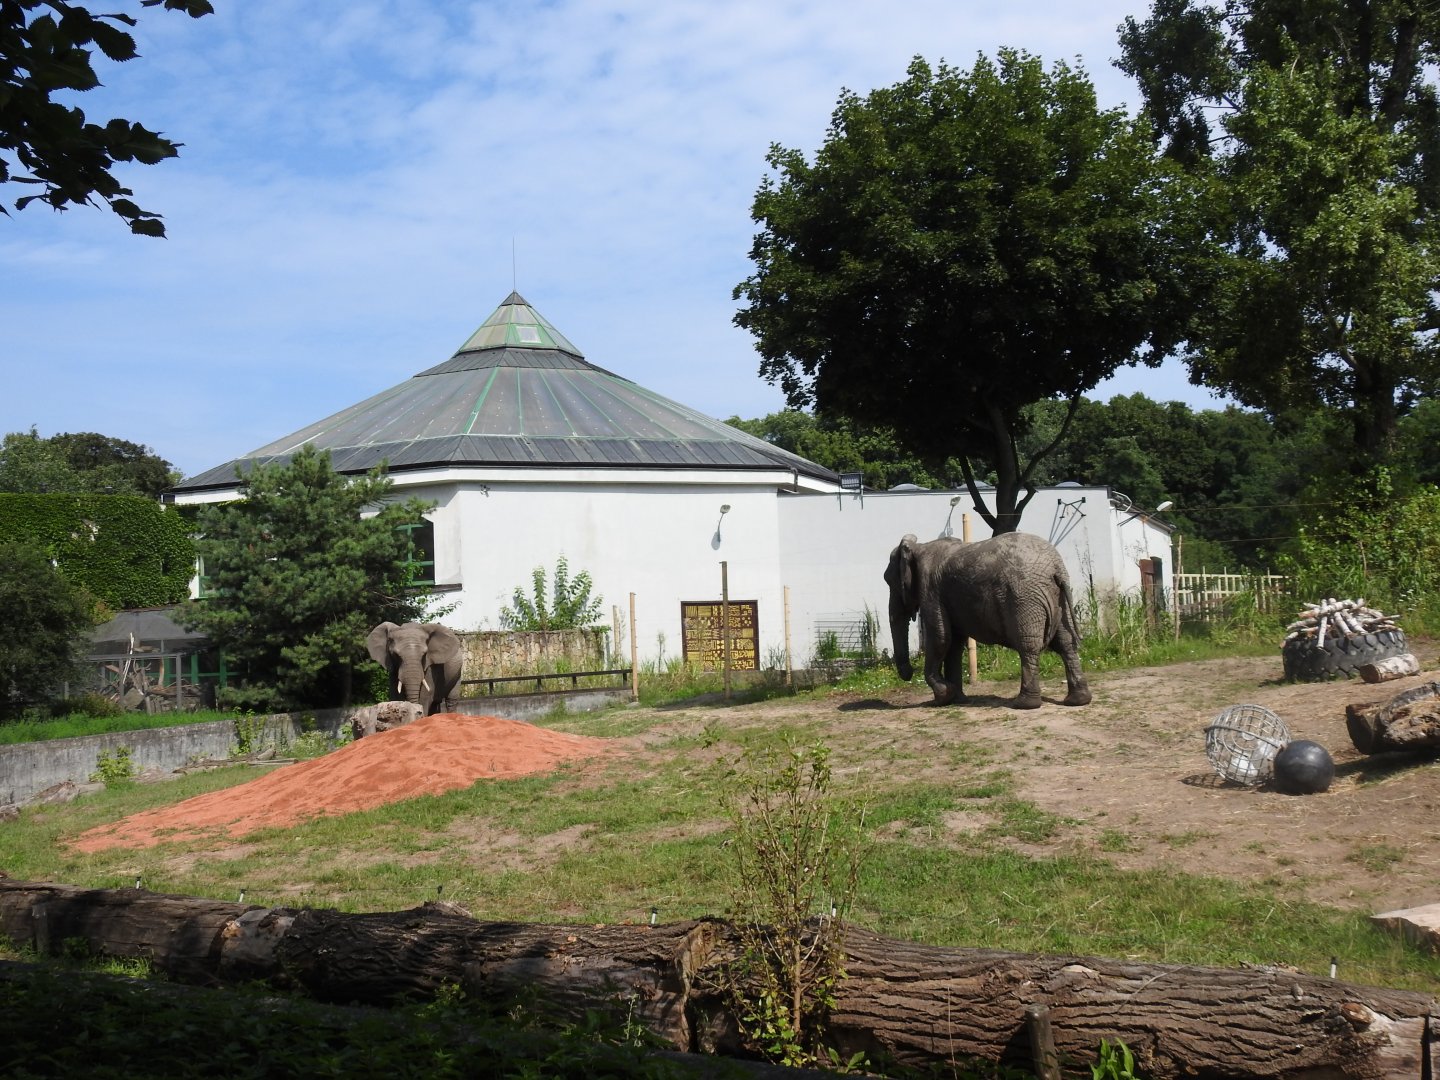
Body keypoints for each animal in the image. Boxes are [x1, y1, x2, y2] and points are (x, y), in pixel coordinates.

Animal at [884, 531, 1091, 710]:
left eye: (888, 581)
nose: (909, 674)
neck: (918, 547)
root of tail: (1056, 568)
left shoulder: (930, 590)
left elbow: (940, 638)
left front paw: (943, 696)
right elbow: (954, 644)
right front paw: (956, 700)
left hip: (1025, 599)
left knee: (1029, 646)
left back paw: (1024, 705)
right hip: (1058, 599)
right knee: (1067, 644)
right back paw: (1077, 701)